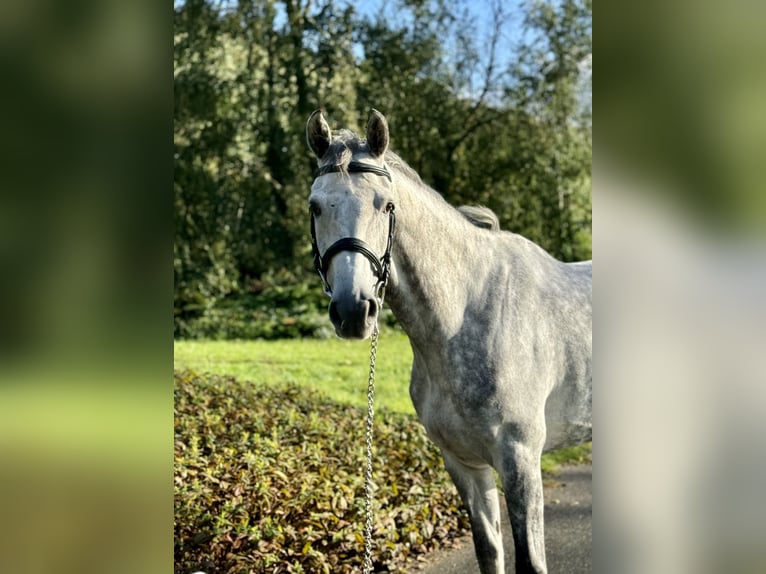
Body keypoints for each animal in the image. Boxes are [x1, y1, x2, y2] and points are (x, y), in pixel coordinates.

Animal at [306, 109, 592, 574]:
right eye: (315, 207)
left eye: (386, 205)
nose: (353, 310)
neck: (466, 313)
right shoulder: (464, 464)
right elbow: (489, 551)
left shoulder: (521, 460)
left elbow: (529, 560)